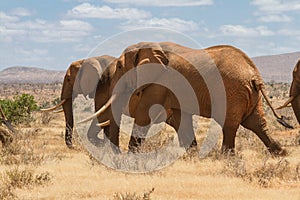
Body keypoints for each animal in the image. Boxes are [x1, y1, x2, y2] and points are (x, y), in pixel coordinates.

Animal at [81, 41, 290, 155]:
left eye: (119, 67)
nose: (116, 152)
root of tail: (254, 74)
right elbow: (179, 118)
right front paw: (192, 153)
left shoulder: (159, 83)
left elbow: (144, 116)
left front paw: (130, 156)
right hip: (248, 94)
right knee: (256, 122)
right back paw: (280, 153)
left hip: (232, 91)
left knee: (230, 124)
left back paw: (226, 157)